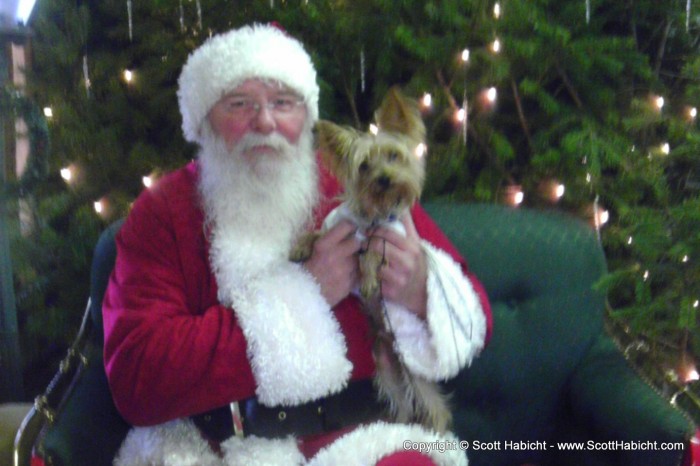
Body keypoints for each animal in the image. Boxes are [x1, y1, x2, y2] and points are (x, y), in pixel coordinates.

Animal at [292, 86, 452, 434]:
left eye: (393, 156)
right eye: (364, 166)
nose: (385, 179)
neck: (371, 214)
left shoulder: (389, 235)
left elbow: (372, 254)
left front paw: (366, 279)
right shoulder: (337, 224)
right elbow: (317, 235)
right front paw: (300, 245)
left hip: (411, 370)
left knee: (431, 402)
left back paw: (434, 427)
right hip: (385, 366)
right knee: (401, 400)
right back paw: (397, 425)